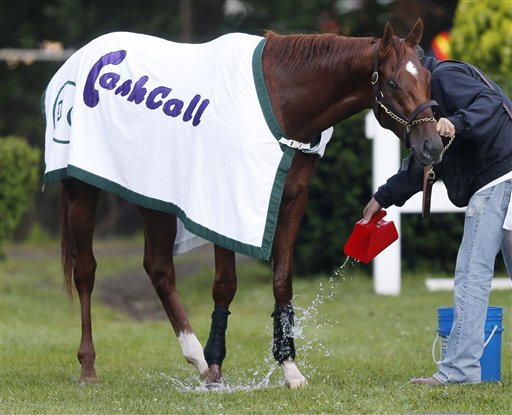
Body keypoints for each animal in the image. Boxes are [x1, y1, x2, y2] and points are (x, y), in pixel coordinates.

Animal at [45, 18, 444, 390]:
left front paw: (289, 368)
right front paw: (217, 366)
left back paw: (195, 357)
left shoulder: (292, 199)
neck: (284, 103)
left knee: (158, 268)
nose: (432, 146)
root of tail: (81, 56)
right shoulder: (223, 200)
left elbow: (282, 280)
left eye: (427, 76)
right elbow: (225, 283)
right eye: (392, 83)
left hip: (153, 192)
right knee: (86, 271)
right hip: (82, 191)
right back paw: (90, 366)